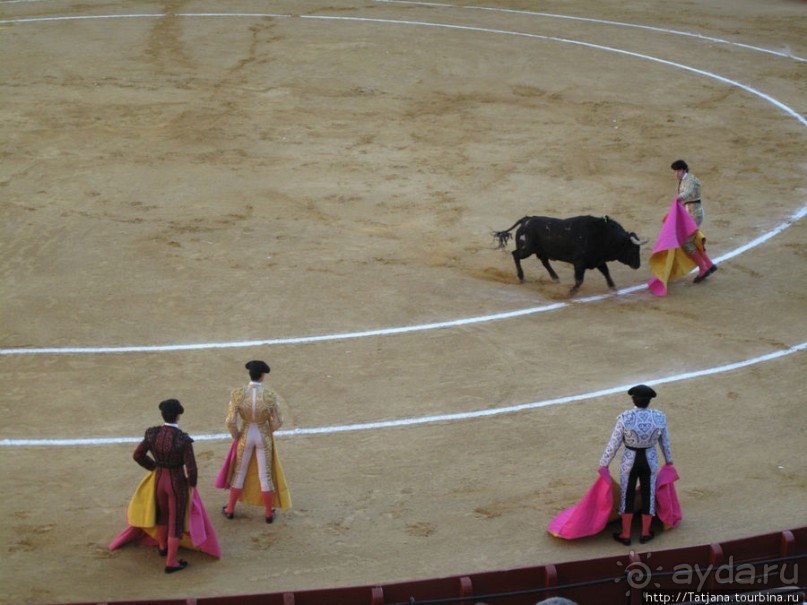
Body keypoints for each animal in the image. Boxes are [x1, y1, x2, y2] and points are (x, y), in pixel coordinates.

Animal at [490, 216, 648, 294]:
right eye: (633, 250)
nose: (638, 265)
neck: (604, 235)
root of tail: (526, 220)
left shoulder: (597, 260)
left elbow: (606, 272)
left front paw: (613, 287)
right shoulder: (580, 263)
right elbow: (579, 280)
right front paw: (571, 291)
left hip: (540, 250)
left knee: (544, 261)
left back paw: (555, 278)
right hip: (527, 249)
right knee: (516, 254)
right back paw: (522, 277)